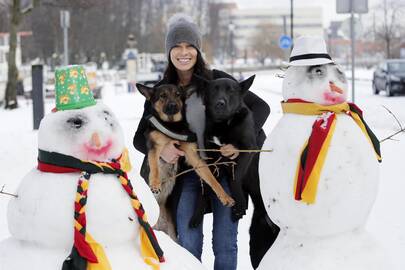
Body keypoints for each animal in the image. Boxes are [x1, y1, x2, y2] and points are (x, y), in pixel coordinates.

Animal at [135, 83, 234, 239]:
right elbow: (155, 167)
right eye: (162, 96)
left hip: (172, 233)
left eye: (177, 94)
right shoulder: (155, 149)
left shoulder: (193, 157)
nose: (173, 105)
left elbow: (211, 179)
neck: (171, 126)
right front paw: (155, 184)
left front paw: (225, 196)